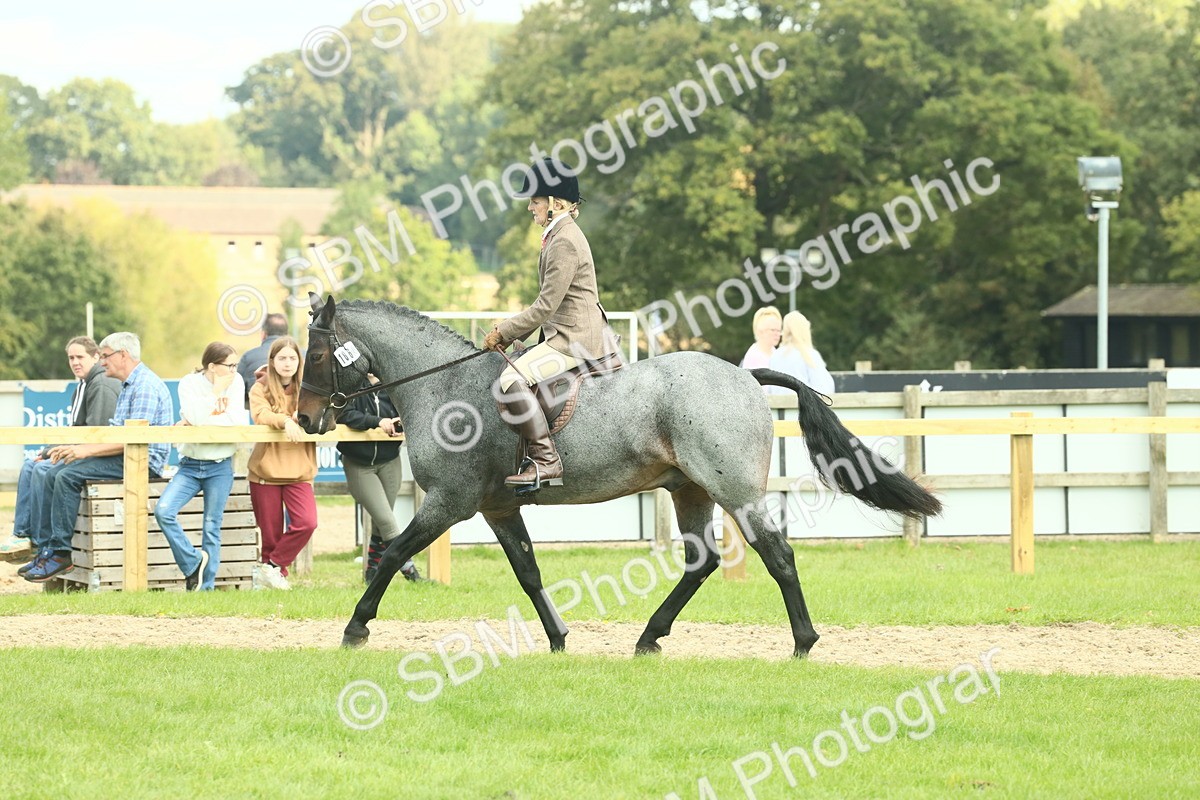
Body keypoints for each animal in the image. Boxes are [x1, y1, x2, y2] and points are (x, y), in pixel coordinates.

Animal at [296, 293, 941, 656]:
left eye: (318, 355)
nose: (304, 419)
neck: (445, 384)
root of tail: (744, 375)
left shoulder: (449, 502)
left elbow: (394, 549)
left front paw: (355, 628)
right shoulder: (498, 506)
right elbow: (528, 572)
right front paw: (558, 638)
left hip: (734, 490)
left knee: (777, 554)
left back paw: (803, 643)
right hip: (690, 490)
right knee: (701, 561)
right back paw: (649, 636)